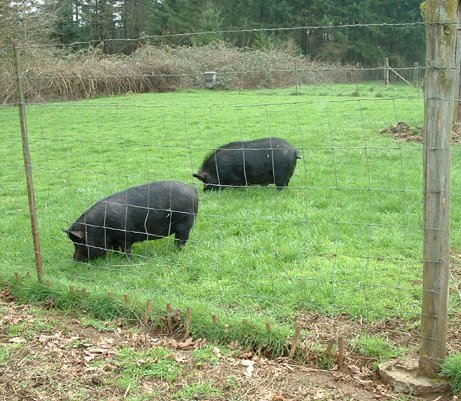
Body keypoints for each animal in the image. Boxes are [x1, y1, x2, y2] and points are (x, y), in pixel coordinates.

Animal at [64, 180, 198, 260]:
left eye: (79, 242)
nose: (74, 259)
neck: (102, 228)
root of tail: (192, 189)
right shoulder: (115, 239)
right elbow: (116, 248)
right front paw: (116, 256)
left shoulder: (126, 235)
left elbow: (126, 249)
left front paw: (128, 260)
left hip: (185, 224)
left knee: (181, 240)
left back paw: (177, 251)